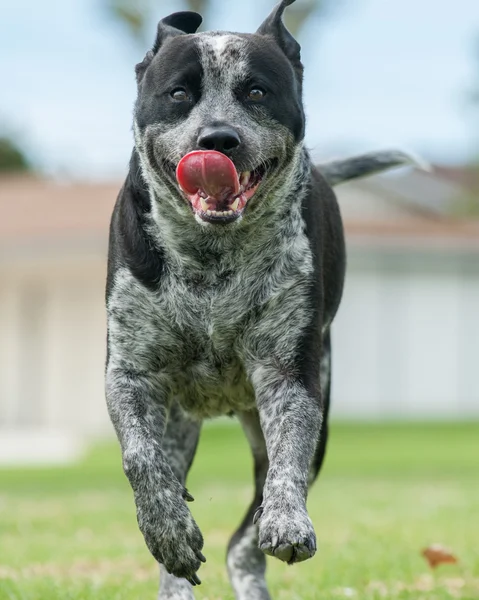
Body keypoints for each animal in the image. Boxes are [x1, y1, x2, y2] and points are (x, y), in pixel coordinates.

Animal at [106, 2, 420, 596]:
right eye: (179, 93)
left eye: (256, 91)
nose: (218, 139)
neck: (212, 257)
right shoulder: (130, 373)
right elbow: (140, 460)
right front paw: (169, 531)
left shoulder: (288, 377)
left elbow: (288, 460)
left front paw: (287, 521)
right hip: (179, 423)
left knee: (242, 546)